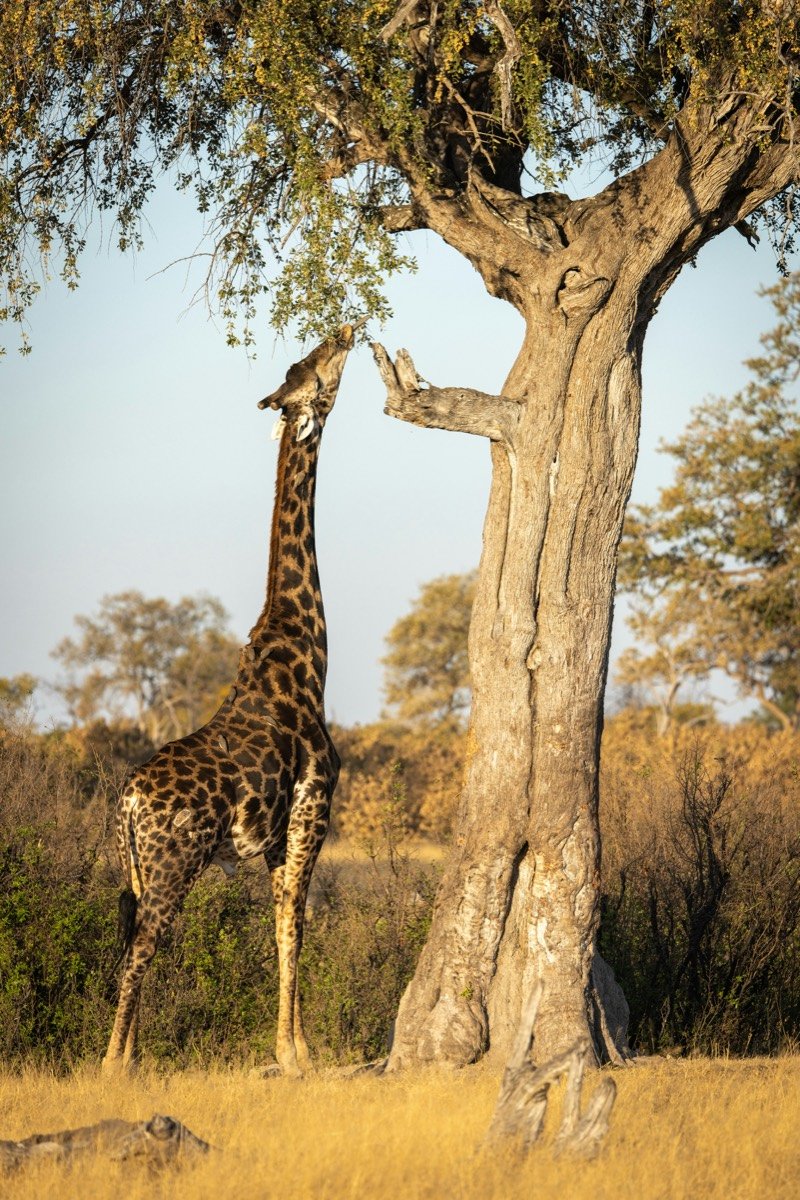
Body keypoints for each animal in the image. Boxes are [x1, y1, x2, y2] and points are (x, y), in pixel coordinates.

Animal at [102, 325, 355, 1077]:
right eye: (316, 370)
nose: (345, 329)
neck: (308, 655)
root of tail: (127, 804)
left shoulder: (273, 839)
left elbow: (282, 927)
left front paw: (292, 1047)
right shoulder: (311, 813)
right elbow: (294, 926)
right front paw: (296, 1054)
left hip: (138, 868)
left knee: (131, 939)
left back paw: (128, 1056)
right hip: (172, 863)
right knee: (139, 949)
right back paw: (115, 1065)